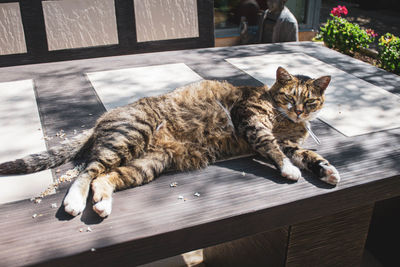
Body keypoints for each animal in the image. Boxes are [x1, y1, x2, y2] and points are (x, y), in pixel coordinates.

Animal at [0, 66, 340, 218]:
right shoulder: (250, 121)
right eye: (289, 97)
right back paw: (73, 202)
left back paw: (101, 204)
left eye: (310, 102)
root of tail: (103, 117)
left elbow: (307, 154)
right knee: (88, 171)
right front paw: (289, 170)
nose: (299, 111)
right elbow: (272, 147)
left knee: (105, 177)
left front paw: (327, 170)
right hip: (130, 136)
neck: (285, 119)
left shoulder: (292, 143)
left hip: (150, 163)